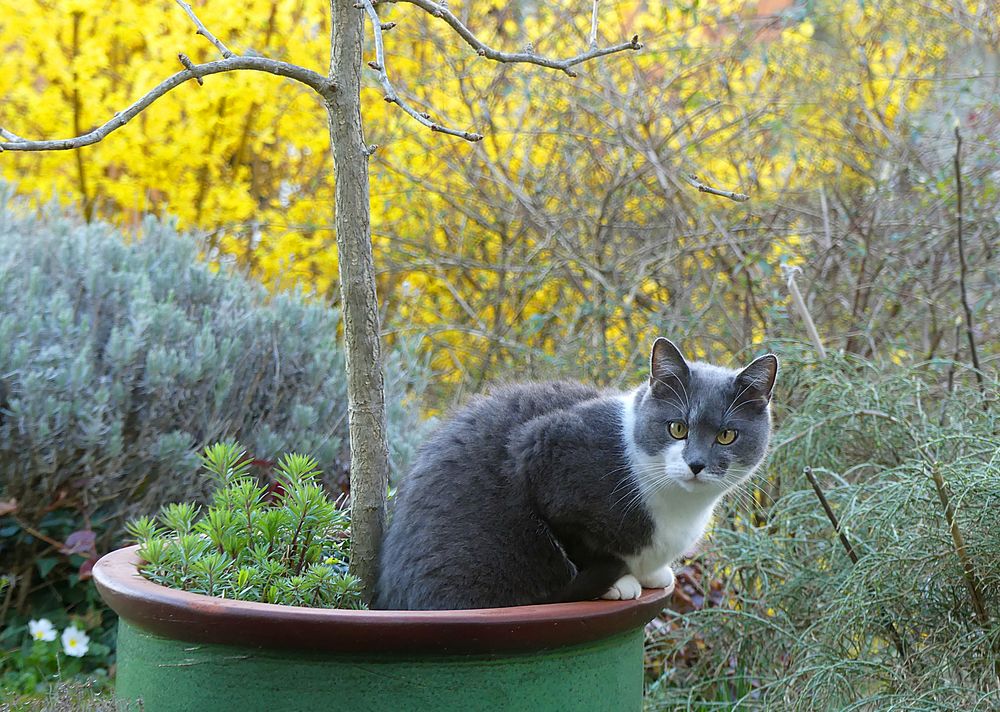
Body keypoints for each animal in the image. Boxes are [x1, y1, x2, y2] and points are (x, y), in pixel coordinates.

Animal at [372, 340, 776, 612]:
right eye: (677, 428)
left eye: (726, 435)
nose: (695, 463)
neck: (680, 507)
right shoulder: (545, 454)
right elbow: (579, 544)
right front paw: (619, 582)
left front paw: (652, 574)